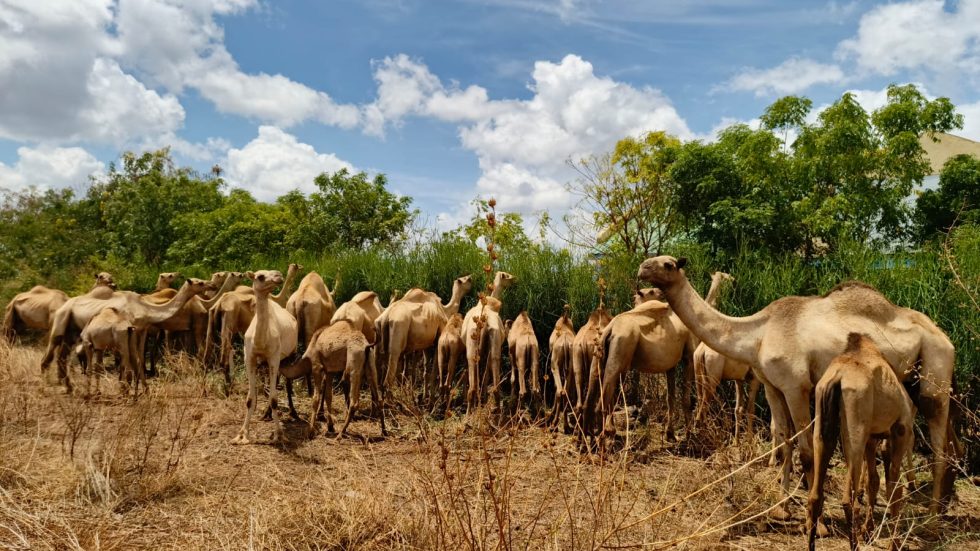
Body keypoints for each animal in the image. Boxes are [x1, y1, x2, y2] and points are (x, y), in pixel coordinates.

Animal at [41, 278, 213, 392]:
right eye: (200, 283)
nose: (211, 284)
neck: (146, 308)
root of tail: (64, 305)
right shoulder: (130, 329)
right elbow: (131, 359)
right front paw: (127, 387)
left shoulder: (142, 330)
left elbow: (140, 359)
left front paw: (144, 388)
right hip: (61, 320)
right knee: (49, 353)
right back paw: (46, 386)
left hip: (71, 331)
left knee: (61, 356)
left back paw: (69, 387)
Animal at [233, 270, 299, 445]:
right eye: (260, 276)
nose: (278, 275)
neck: (260, 341)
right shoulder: (249, 357)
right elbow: (250, 399)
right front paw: (242, 435)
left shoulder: (274, 357)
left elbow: (275, 399)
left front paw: (279, 435)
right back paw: (266, 414)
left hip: (290, 354)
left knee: (288, 383)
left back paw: (293, 413)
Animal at [586, 272, 732, 442]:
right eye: (726, 277)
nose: (734, 281)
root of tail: (609, 330)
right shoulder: (688, 357)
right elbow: (686, 399)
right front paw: (689, 435)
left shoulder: (671, 364)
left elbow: (670, 398)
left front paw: (670, 434)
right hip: (619, 356)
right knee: (601, 404)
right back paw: (605, 438)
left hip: (598, 357)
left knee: (589, 400)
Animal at [637, 255, 955, 516]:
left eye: (667, 264)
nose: (642, 269)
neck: (758, 333)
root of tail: (945, 337)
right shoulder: (772, 386)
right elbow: (784, 439)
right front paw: (782, 506)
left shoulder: (796, 387)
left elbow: (805, 448)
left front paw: (816, 519)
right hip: (910, 381)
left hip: (935, 372)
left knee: (939, 440)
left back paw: (932, 514)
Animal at [806, 334, 915, 551]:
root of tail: (838, 377)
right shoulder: (901, 431)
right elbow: (894, 487)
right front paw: (894, 544)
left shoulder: (872, 439)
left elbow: (873, 481)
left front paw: (868, 532)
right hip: (855, 426)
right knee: (848, 497)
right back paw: (854, 545)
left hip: (822, 422)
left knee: (816, 494)